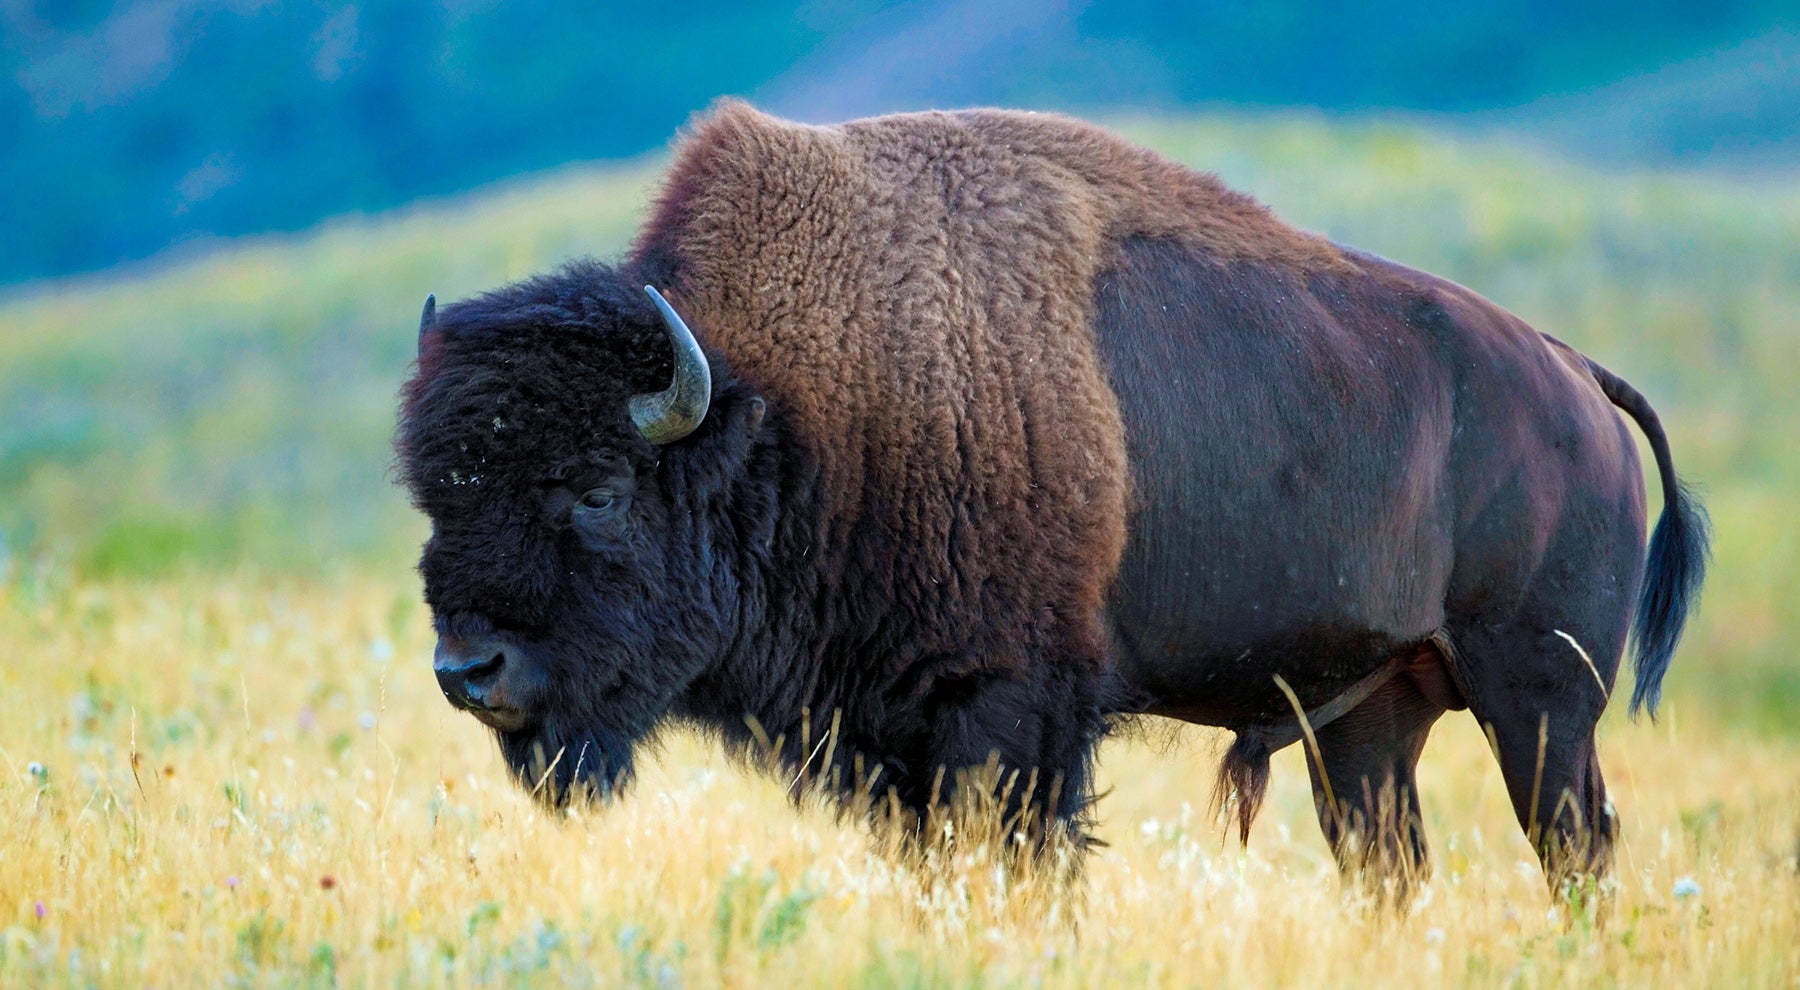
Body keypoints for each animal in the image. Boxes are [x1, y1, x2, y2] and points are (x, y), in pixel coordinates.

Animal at [394, 103, 1699, 892]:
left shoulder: (1009, 715)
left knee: (1575, 847)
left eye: (600, 490)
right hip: (1372, 721)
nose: (468, 670)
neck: (789, 409)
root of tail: (1574, 374)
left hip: (1538, 700)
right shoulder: (899, 739)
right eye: (433, 495)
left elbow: (1023, 855)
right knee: (1389, 862)